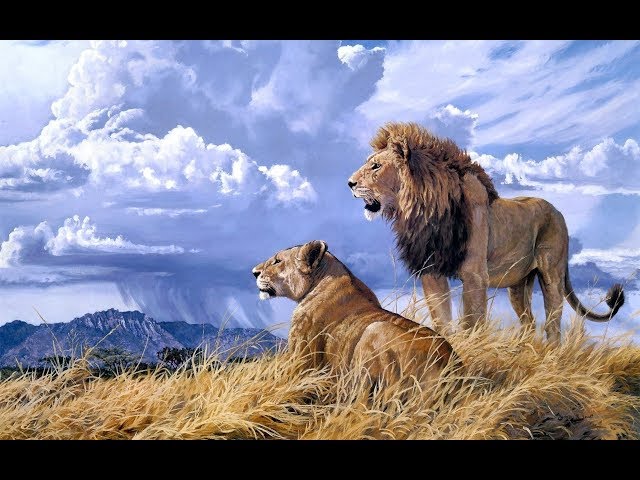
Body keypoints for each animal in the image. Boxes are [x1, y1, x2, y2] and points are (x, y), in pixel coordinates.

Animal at [348, 122, 625, 343]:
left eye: (375, 166)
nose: (349, 183)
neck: (424, 210)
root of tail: (558, 211)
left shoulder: (474, 275)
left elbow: (472, 323)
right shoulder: (432, 272)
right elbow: (442, 320)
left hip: (551, 274)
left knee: (553, 322)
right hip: (518, 284)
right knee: (529, 323)